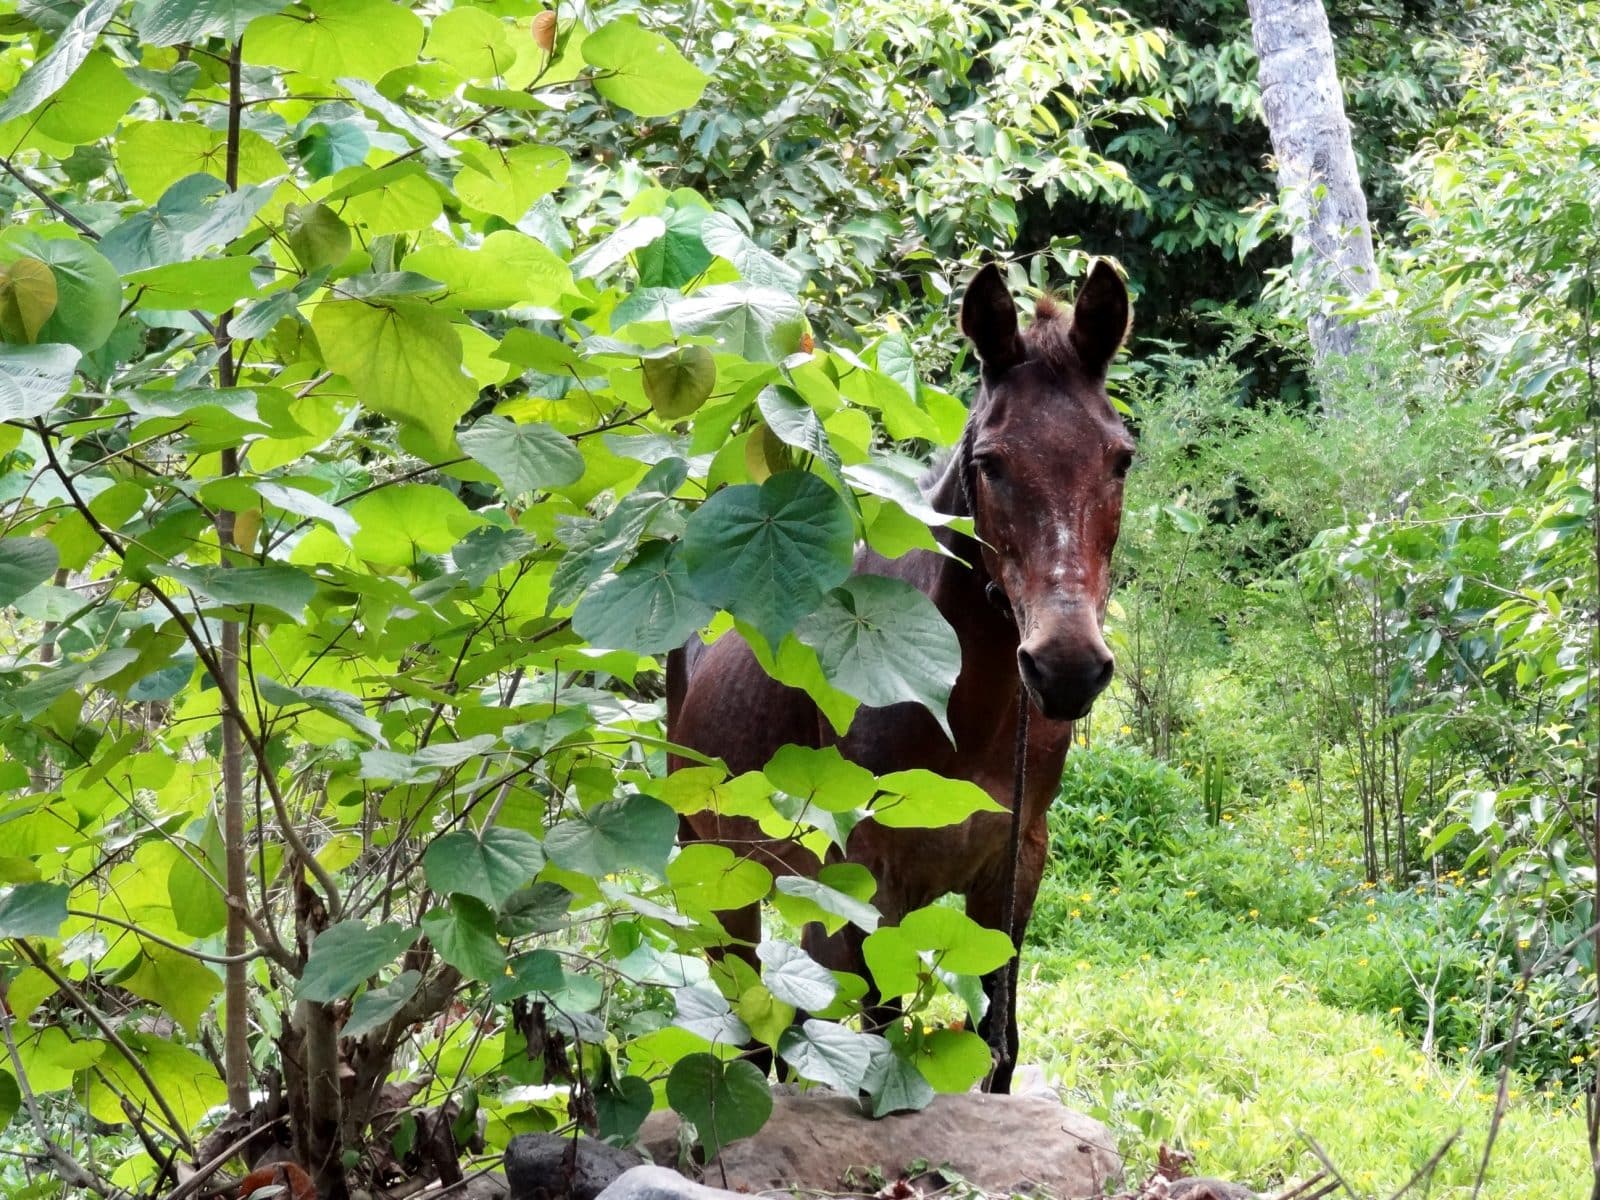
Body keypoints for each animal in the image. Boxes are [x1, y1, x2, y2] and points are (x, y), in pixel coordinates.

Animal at [666, 260, 1135, 1093]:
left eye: (1121, 458)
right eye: (990, 463)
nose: (1067, 668)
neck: (961, 710)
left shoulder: (1014, 866)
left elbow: (999, 1042)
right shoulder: (870, 878)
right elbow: (879, 1036)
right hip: (721, 868)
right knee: (752, 1027)